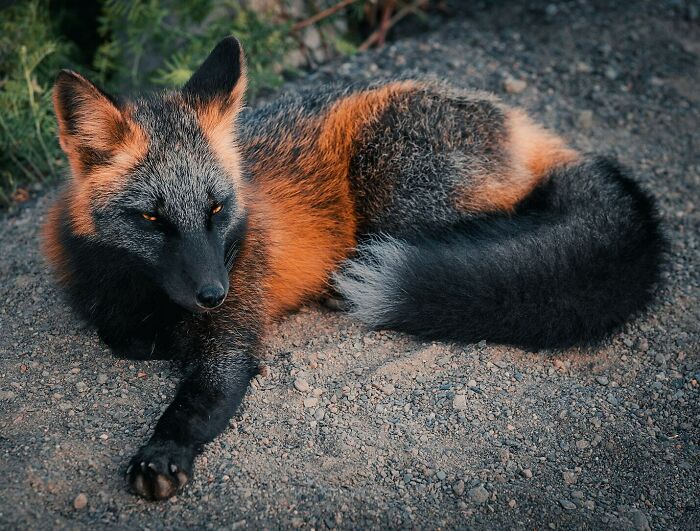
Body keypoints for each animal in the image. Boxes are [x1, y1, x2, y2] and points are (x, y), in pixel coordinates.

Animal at [42, 37, 663, 500]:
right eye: (151, 218)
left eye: (216, 210)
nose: (213, 293)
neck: (144, 294)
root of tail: (518, 120)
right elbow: (123, 338)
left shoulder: (233, 335)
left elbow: (196, 401)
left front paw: (163, 452)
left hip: (394, 190)